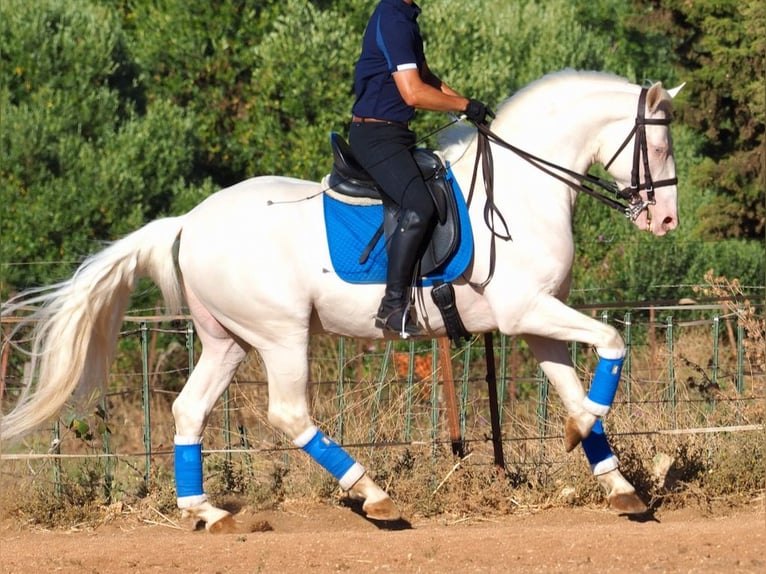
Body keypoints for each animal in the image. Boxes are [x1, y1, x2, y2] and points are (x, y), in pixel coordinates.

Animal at [0, 71, 684, 536]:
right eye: (659, 146)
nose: (667, 221)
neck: (521, 188)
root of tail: (189, 222)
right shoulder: (527, 312)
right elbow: (613, 342)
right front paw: (594, 447)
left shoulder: (536, 321)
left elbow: (575, 391)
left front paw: (611, 475)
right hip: (280, 335)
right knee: (289, 414)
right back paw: (374, 496)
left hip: (228, 340)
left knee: (189, 410)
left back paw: (208, 512)